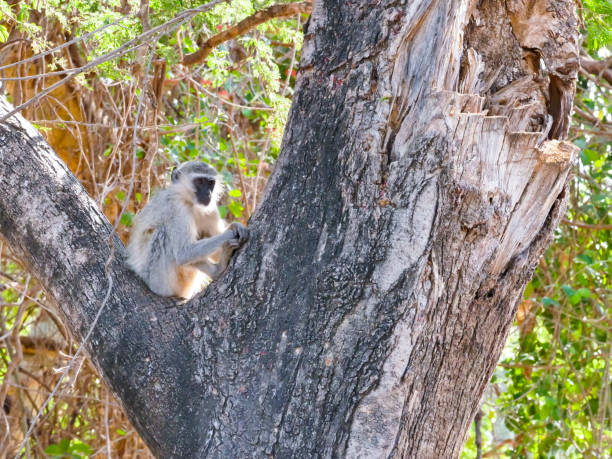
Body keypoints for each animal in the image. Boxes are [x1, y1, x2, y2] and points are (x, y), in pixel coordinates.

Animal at [126, 160, 249, 300]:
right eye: (200, 181)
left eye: (210, 183)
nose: (208, 194)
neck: (190, 203)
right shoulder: (177, 208)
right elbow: (184, 252)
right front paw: (229, 233)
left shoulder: (211, 209)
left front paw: (235, 226)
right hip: (155, 278)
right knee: (165, 235)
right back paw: (217, 270)